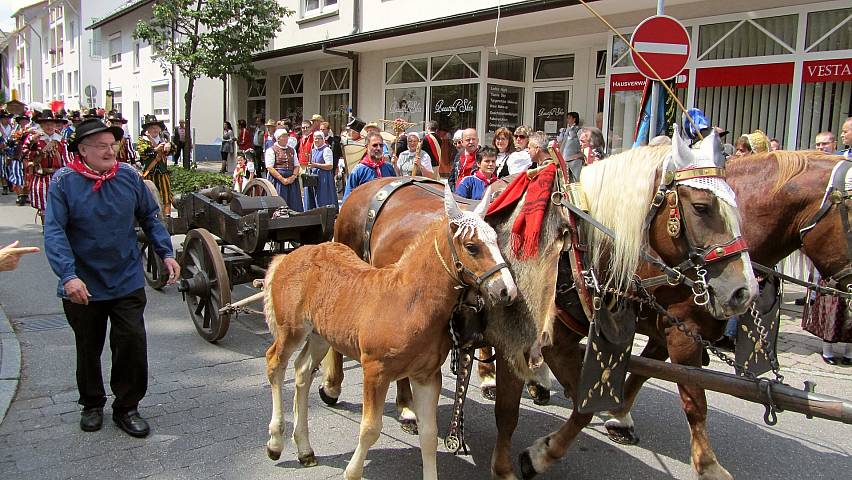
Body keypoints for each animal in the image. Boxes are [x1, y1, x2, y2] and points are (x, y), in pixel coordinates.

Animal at [260, 185, 516, 480]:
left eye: (496, 240)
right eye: (472, 247)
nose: (508, 290)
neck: (410, 301)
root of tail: (288, 255)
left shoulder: (427, 376)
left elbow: (429, 434)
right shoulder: (375, 371)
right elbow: (370, 428)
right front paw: (352, 473)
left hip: (320, 336)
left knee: (302, 371)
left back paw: (304, 449)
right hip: (291, 330)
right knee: (275, 364)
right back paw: (275, 443)